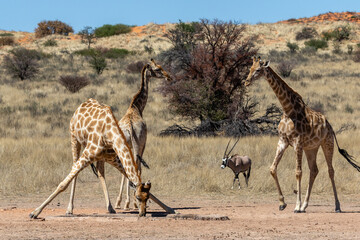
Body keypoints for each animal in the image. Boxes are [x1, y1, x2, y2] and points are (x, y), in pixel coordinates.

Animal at [245, 56, 360, 214]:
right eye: (249, 68)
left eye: (257, 70)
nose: (246, 82)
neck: (288, 110)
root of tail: (330, 126)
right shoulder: (283, 141)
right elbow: (272, 169)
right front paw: (283, 203)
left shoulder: (297, 143)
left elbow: (298, 172)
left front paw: (296, 206)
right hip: (311, 148)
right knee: (314, 170)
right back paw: (305, 206)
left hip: (327, 143)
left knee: (330, 170)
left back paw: (336, 206)